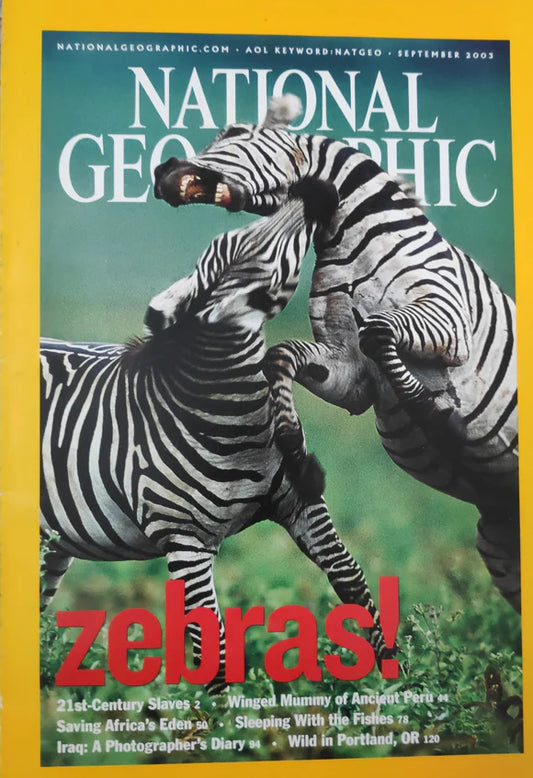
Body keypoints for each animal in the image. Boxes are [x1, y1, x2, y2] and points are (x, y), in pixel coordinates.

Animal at [40, 179, 388, 694]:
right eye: (260, 261)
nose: (316, 187)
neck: (236, 419)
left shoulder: (302, 503)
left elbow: (351, 577)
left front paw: (390, 675)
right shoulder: (184, 540)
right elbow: (213, 645)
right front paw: (219, 715)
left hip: (50, 544)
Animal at [153, 95, 520, 612]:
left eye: (235, 133)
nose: (163, 170)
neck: (353, 241)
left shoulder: (448, 318)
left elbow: (380, 333)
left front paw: (432, 413)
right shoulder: (351, 374)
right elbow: (281, 356)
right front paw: (293, 446)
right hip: (500, 543)